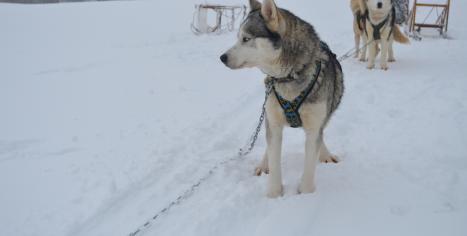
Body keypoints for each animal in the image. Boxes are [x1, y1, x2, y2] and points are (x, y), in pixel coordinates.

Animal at [219, 0, 344, 198]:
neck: (289, 76)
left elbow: (311, 160)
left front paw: (306, 194)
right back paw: (264, 164)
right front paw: (274, 194)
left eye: (246, 38)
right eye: (238, 37)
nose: (222, 57)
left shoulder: (313, 127)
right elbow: (274, 158)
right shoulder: (275, 124)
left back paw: (324, 154)